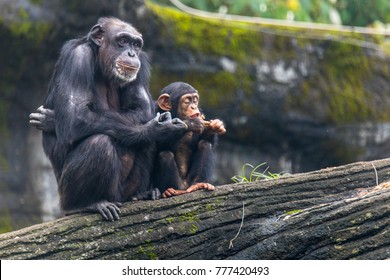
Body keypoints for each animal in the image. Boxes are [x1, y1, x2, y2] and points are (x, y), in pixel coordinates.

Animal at [29, 18, 185, 222]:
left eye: (136, 44)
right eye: (122, 41)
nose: (131, 53)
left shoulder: (142, 64)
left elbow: (141, 108)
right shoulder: (78, 59)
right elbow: (75, 116)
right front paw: (157, 129)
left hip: (122, 192)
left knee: (146, 144)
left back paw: (140, 194)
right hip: (65, 194)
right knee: (99, 143)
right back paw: (85, 204)